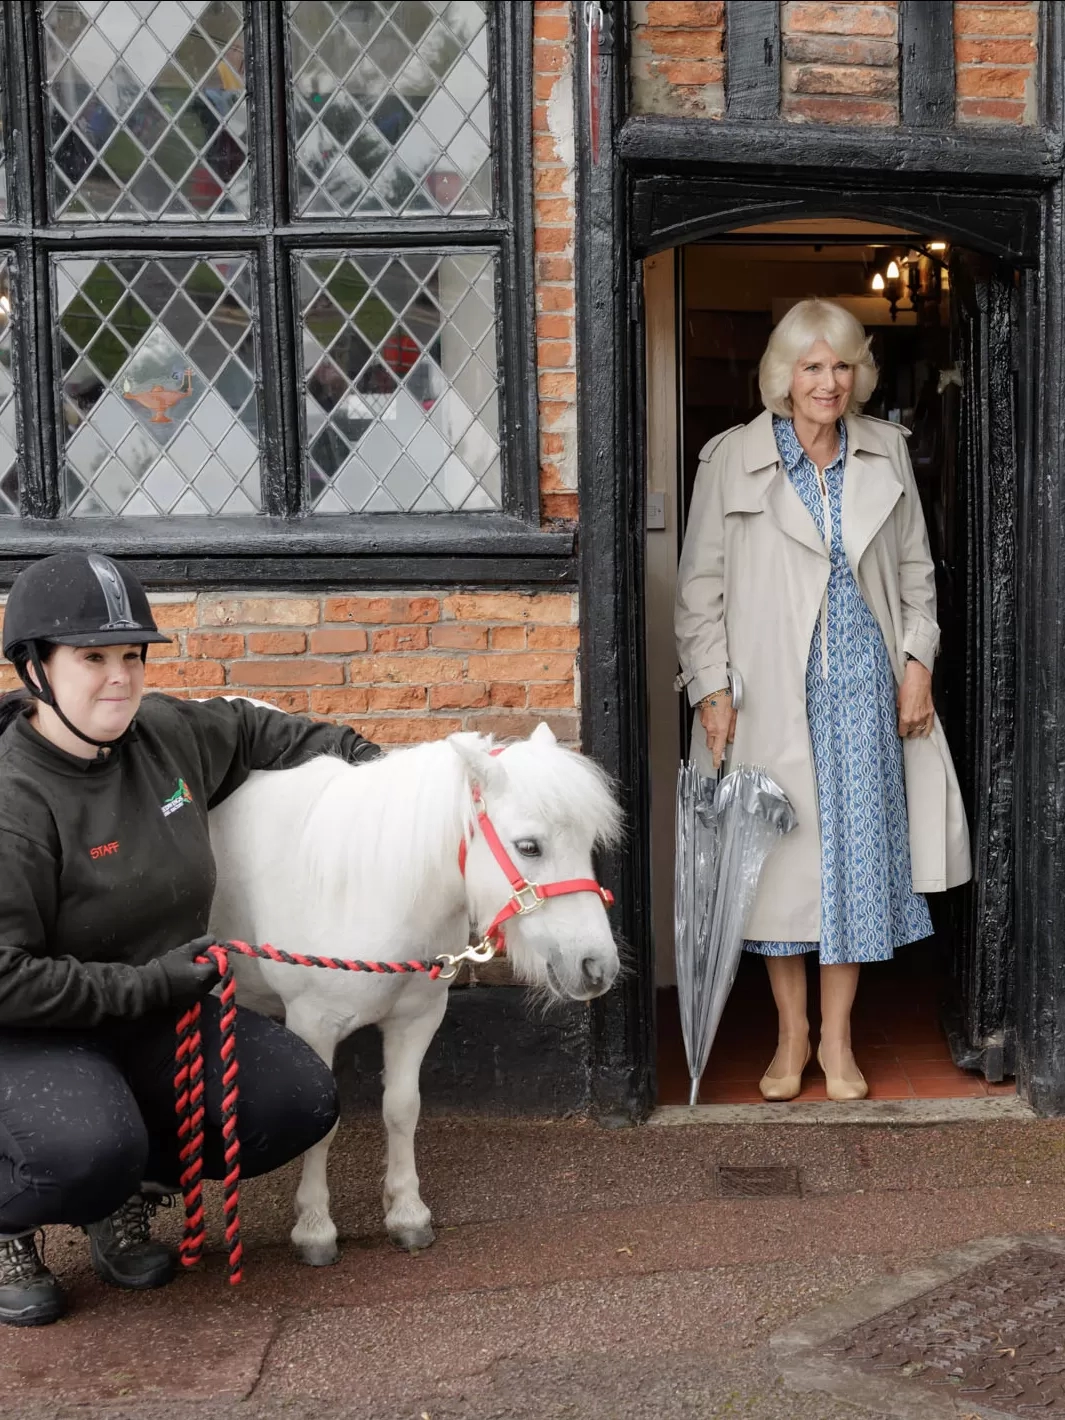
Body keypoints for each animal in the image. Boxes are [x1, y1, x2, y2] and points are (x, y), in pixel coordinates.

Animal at [207, 727, 621, 1260]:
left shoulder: (417, 1017)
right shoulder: (312, 1022)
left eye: (588, 841)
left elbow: (402, 1109)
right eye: (529, 847)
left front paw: (406, 1212)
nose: (597, 967)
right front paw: (315, 1227)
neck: (367, 886)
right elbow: (324, 1124)